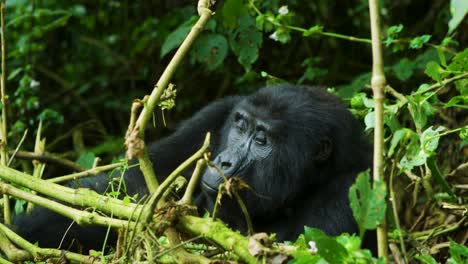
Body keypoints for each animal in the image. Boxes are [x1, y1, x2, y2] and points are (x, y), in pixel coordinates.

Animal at [12, 83, 372, 251]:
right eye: (240, 126)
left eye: (261, 140)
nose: (223, 161)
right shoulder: (217, 114)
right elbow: (126, 191)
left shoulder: (350, 189)